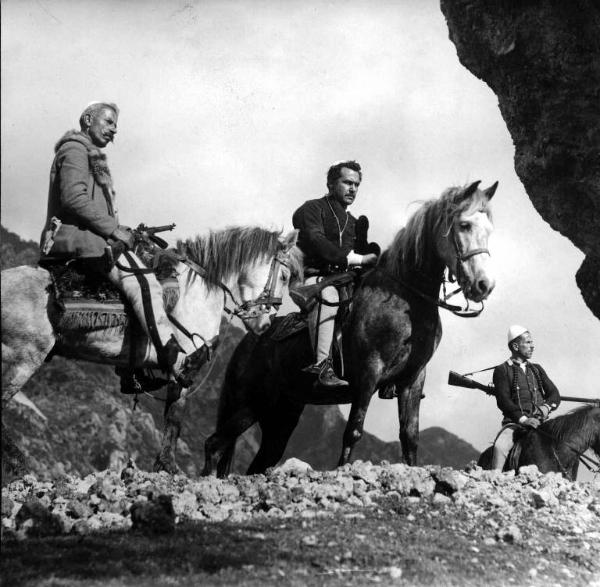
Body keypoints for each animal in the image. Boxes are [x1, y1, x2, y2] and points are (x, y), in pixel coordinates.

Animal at [0, 225, 300, 474]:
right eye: (285, 276)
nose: (266, 323)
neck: (198, 291)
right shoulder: (184, 368)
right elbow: (175, 419)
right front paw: (168, 467)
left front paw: (163, 465)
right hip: (25, 358)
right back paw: (18, 463)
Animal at [204, 181, 500, 476]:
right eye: (464, 225)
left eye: (489, 230)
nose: (484, 285)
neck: (406, 300)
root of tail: (250, 341)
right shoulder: (369, 373)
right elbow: (353, 432)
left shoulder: (413, 379)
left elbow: (410, 438)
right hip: (249, 404)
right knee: (214, 444)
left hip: (279, 415)